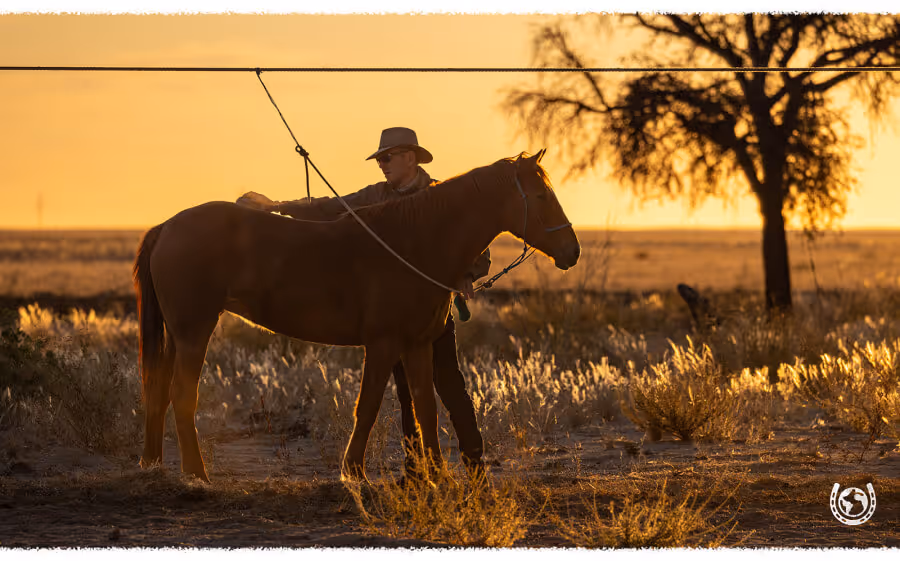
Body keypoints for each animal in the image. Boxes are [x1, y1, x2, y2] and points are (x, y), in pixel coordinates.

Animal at [133, 149, 580, 482]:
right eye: (542, 197)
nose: (572, 251)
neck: (414, 244)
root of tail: (167, 226)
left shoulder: (418, 344)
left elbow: (426, 407)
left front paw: (436, 475)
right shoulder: (382, 344)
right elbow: (367, 406)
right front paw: (353, 472)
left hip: (177, 335)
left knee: (159, 390)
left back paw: (153, 464)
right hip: (195, 332)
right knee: (182, 395)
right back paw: (196, 474)